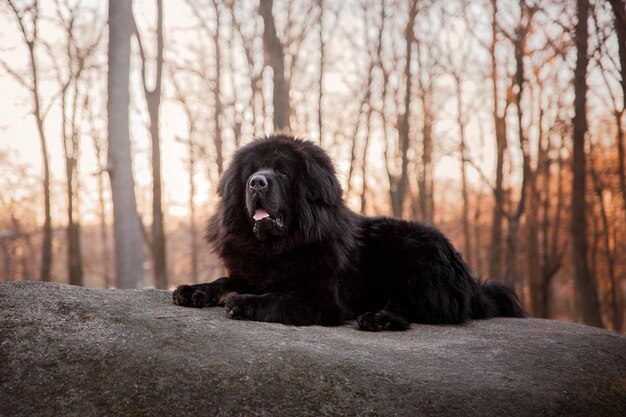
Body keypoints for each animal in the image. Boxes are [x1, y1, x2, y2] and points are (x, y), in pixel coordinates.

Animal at [172, 135, 520, 330]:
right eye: (251, 171)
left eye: (282, 171)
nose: (257, 182)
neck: (278, 247)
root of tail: (471, 282)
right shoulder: (250, 271)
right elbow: (224, 280)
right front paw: (194, 291)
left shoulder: (323, 298)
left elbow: (279, 298)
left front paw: (244, 303)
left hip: (406, 247)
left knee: (429, 307)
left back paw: (379, 319)